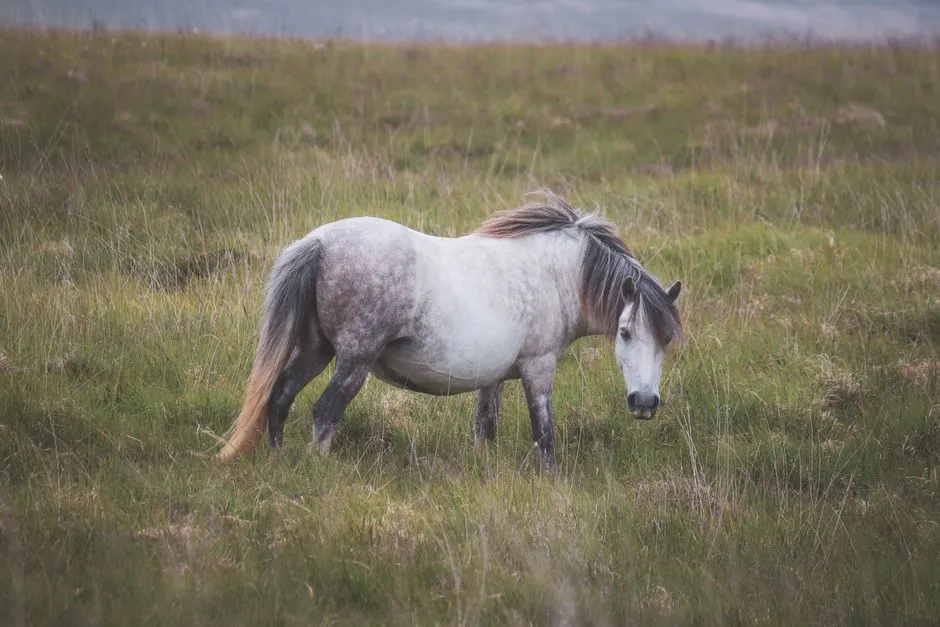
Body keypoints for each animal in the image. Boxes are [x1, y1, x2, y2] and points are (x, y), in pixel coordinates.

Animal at [217, 191, 682, 469]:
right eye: (625, 332)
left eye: (665, 342)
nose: (644, 404)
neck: (556, 273)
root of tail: (318, 243)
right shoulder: (538, 367)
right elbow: (545, 433)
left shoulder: (494, 377)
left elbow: (485, 426)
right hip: (354, 360)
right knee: (324, 412)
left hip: (317, 351)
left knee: (280, 397)